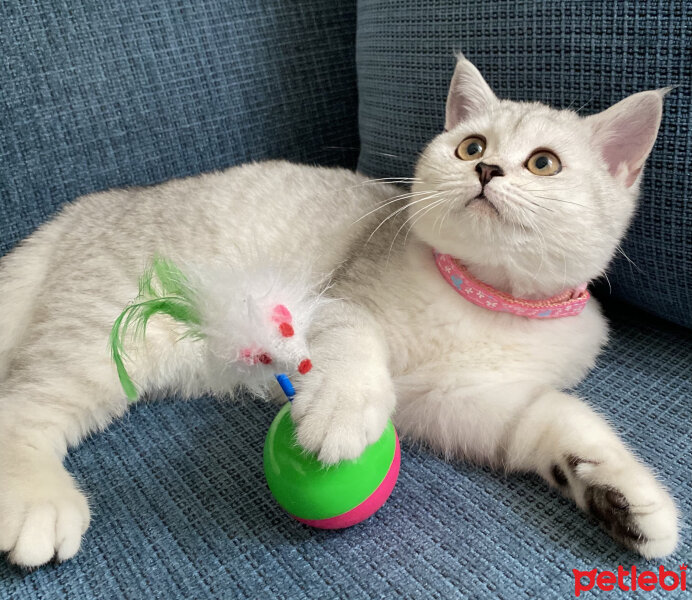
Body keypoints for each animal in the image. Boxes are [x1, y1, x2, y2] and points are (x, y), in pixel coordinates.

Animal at [0, 52, 680, 568]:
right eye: (470, 146)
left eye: (543, 162)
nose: (486, 168)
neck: (483, 299)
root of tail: (83, 210)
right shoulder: (343, 300)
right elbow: (353, 344)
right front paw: (340, 412)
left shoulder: (458, 401)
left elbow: (552, 419)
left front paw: (623, 496)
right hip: (104, 333)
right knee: (22, 406)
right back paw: (36, 500)